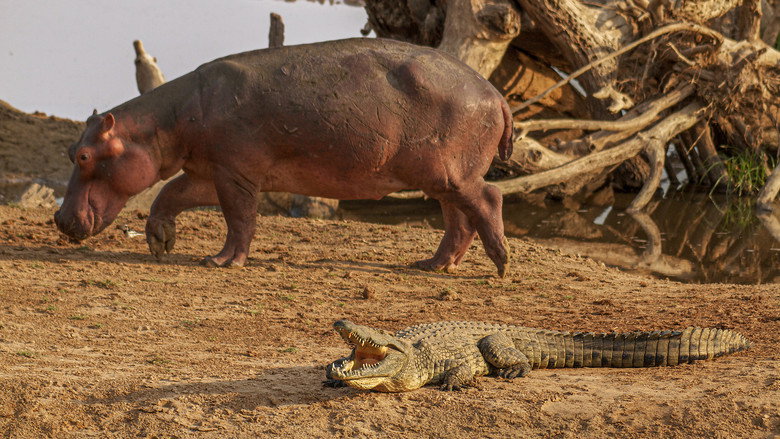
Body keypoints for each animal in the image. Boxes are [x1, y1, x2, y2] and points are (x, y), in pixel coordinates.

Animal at [54, 38, 514, 276]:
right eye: (72, 151)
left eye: (83, 156)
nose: (58, 219)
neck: (165, 121)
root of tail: (494, 93)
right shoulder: (211, 171)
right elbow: (172, 194)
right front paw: (160, 242)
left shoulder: (235, 173)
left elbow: (239, 219)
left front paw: (221, 262)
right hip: (443, 178)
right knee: (459, 221)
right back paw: (430, 266)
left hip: (451, 173)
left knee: (488, 199)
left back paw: (501, 264)